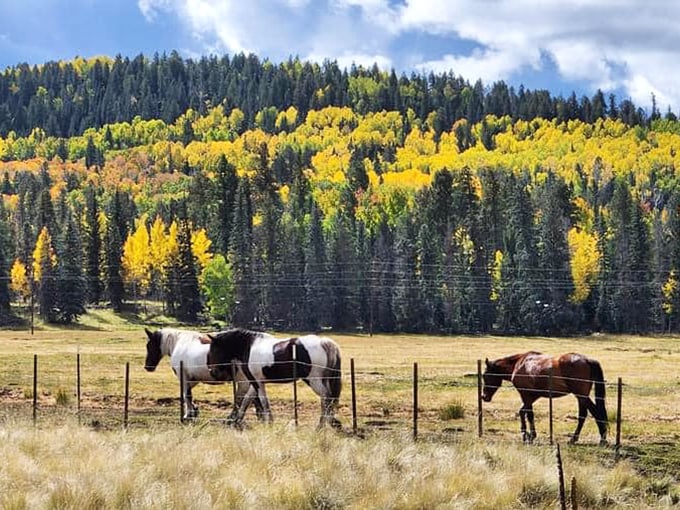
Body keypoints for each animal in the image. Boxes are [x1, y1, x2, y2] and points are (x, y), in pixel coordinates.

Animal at [202, 328, 340, 428]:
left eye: (214, 349)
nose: (213, 372)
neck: (249, 346)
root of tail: (324, 342)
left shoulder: (257, 382)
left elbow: (263, 401)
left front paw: (269, 422)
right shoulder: (255, 382)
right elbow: (247, 400)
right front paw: (236, 420)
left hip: (313, 380)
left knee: (326, 397)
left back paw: (321, 425)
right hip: (323, 380)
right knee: (327, 399)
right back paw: (330, 423)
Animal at [480, 350, 608, 446]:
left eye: (485, 376)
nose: (484, 397)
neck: (519, 364)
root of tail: (587, 360)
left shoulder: (525, 395)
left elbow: (529, 414)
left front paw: (530, 436)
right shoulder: (533, 396)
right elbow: (522, 412)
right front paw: (526, 434)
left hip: (581, 396)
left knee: (594, 413)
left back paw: (600, 439)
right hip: (581, 397)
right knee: (584, 415)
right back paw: (578, 439)